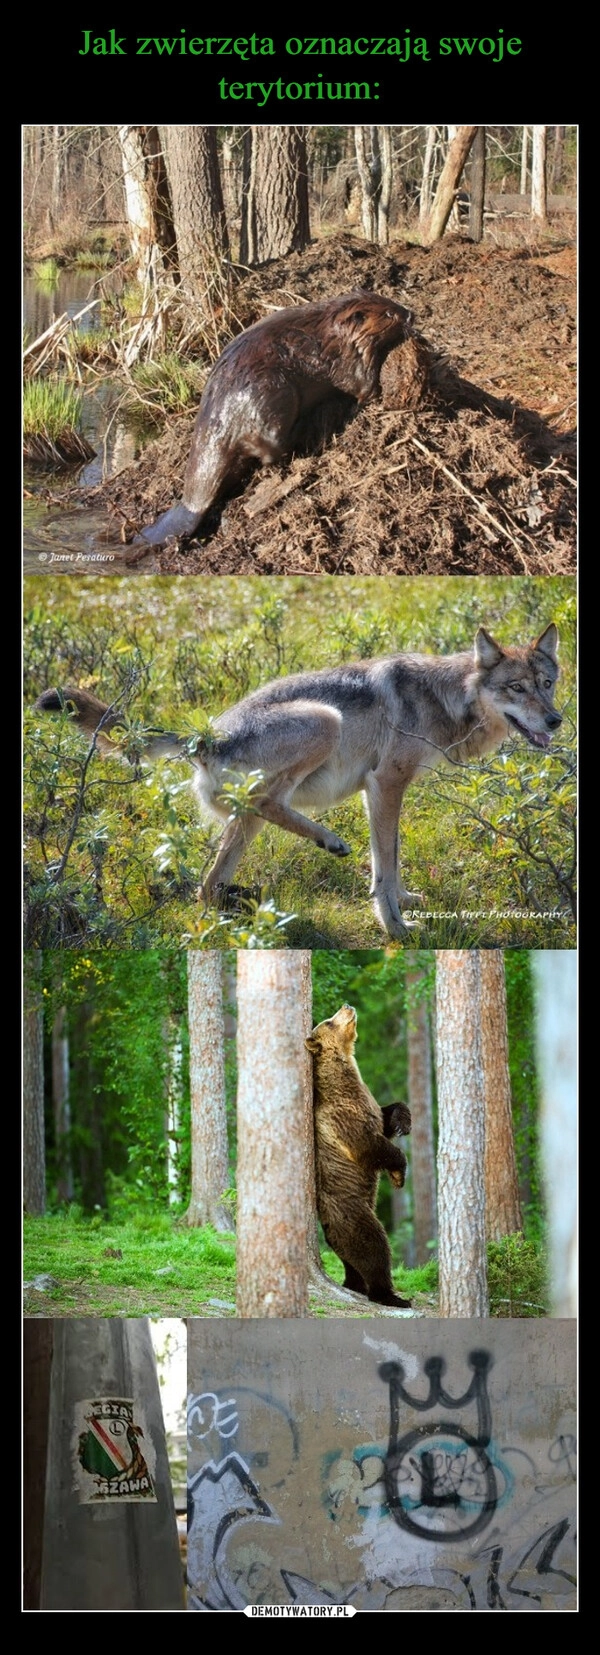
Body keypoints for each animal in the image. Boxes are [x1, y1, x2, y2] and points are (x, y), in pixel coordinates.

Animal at [35, 622, 565, 940]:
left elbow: (390, 861)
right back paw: (329, 841)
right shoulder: (385, 784)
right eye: (516, 688)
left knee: (207, 885)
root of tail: (206, 735)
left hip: (246, 821)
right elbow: (383, 868)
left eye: (547, 684)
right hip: (325, 720)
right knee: (265, 807)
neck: (446, 697)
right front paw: (396, 926)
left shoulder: (383, 792)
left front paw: (407, 900)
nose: (557, 721)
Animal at [131, 294, 413, 552]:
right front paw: (375, 394)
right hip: (274, 394)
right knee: (267, 449)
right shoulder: (346, 357)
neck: (331, 329)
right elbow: (360, 383)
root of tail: (190, 505)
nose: (410, 314)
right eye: (389, 314)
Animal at [307, 999, 411, 1310]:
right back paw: (391, 1295)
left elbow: (385, 1117)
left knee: (351, 1260)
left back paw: (355, 1283)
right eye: (328, 1021)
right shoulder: (344, 1118)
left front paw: (403, 1121)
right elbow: (371, 1146)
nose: (346, 1005)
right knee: (374, 1246)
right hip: (352, 1213)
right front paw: (400, 1173)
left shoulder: (368, 1102)